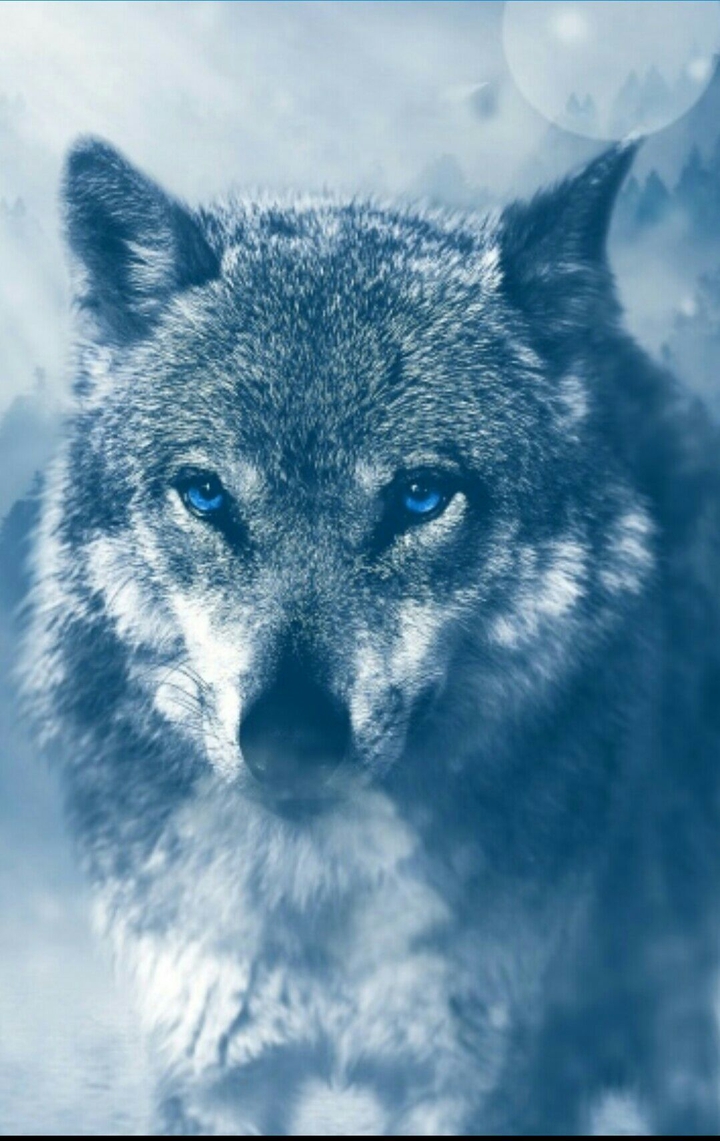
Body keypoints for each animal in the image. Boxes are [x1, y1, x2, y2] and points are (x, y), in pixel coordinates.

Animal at [20, 136, 720, 1135]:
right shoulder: (212, 1069)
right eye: (206, 494)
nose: (291, 739)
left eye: (421, 495)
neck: (320, 903)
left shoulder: (483, 1078)